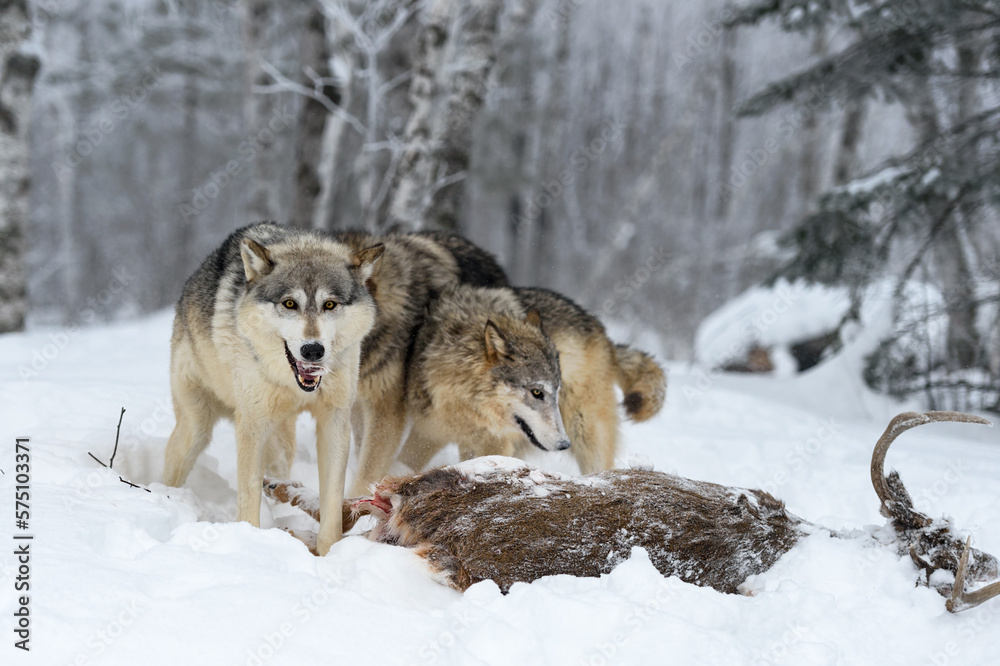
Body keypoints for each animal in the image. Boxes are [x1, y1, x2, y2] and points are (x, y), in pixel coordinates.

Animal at [162, 222, 383, 555]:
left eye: (329, 304)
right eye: (290, 303)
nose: (312, 350)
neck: (295, 385)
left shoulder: (335, 420)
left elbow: (332, 503)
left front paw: (330, 553)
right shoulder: (252, 426)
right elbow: (248, 497)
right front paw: (251, 542)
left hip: (280, 444)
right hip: (196, 429)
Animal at [264, 411, 1000, 612]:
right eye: (946, 540)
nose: (989, 557)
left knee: (344, 517)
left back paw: (276, 491)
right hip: (487, 466)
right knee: (342, 509)